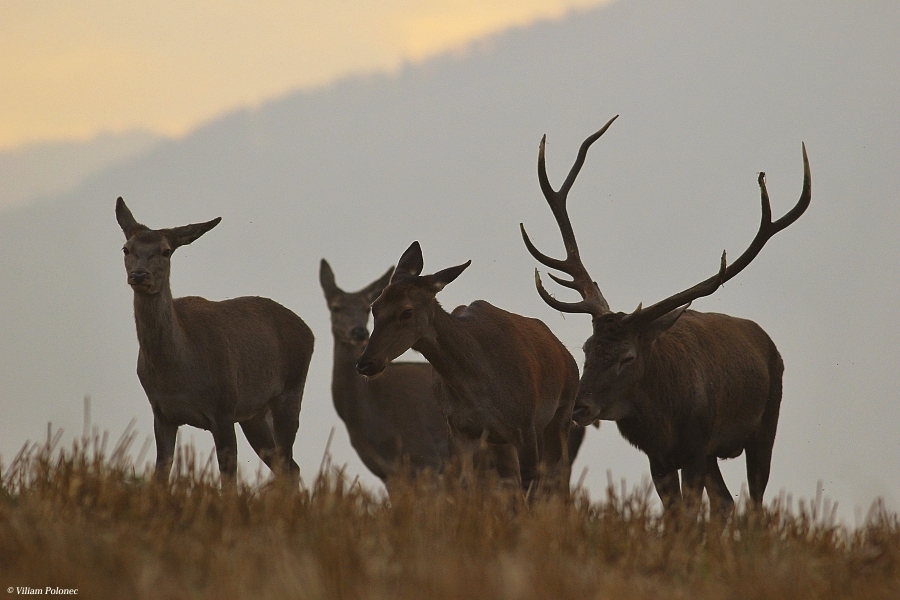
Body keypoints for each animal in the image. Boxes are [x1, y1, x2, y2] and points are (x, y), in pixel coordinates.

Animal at [114, 199, 314, 480]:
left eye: (166, 251)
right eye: (126, 248)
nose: (140, 275)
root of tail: (308, 331)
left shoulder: (223, 410)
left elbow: (228, 479)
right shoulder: (161, 413)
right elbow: (160, 474)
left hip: (290, 391)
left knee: (287, 464)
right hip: (254, 414)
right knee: (288, 468)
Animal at [356, 241, 580, 494]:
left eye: (406, 311)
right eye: (375, 307)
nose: (366, 363)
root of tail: (567, 357)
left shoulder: (525, 425)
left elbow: (532, 485)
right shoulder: (459, 429)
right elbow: (460, 485)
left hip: (561, 416)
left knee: (555, 480)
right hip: (500, 441)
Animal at [520, 116, 808, 510]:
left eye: (627, 357)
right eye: (586, 348)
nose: (580, 408)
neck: (664, 423)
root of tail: (766, 340)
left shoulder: (697, 446)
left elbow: (691, 512)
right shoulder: (660, 458)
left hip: (765, 423)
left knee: (754, 502)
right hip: (718, 452)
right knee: (726, 504)